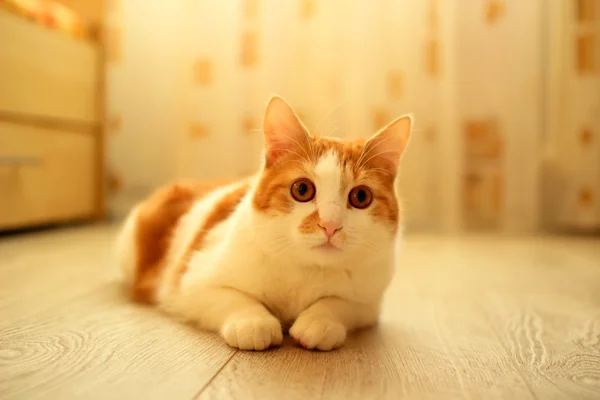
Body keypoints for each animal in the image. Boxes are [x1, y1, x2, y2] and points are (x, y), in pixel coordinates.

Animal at [116, 96, 412, 350]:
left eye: (361, 197)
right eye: (302, 190)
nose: (330, 225)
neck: (307, 269)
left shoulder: (369, 304)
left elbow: (338, 302)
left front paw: (319, 321)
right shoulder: (189, 283)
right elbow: (232, 297)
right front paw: (254, 322)